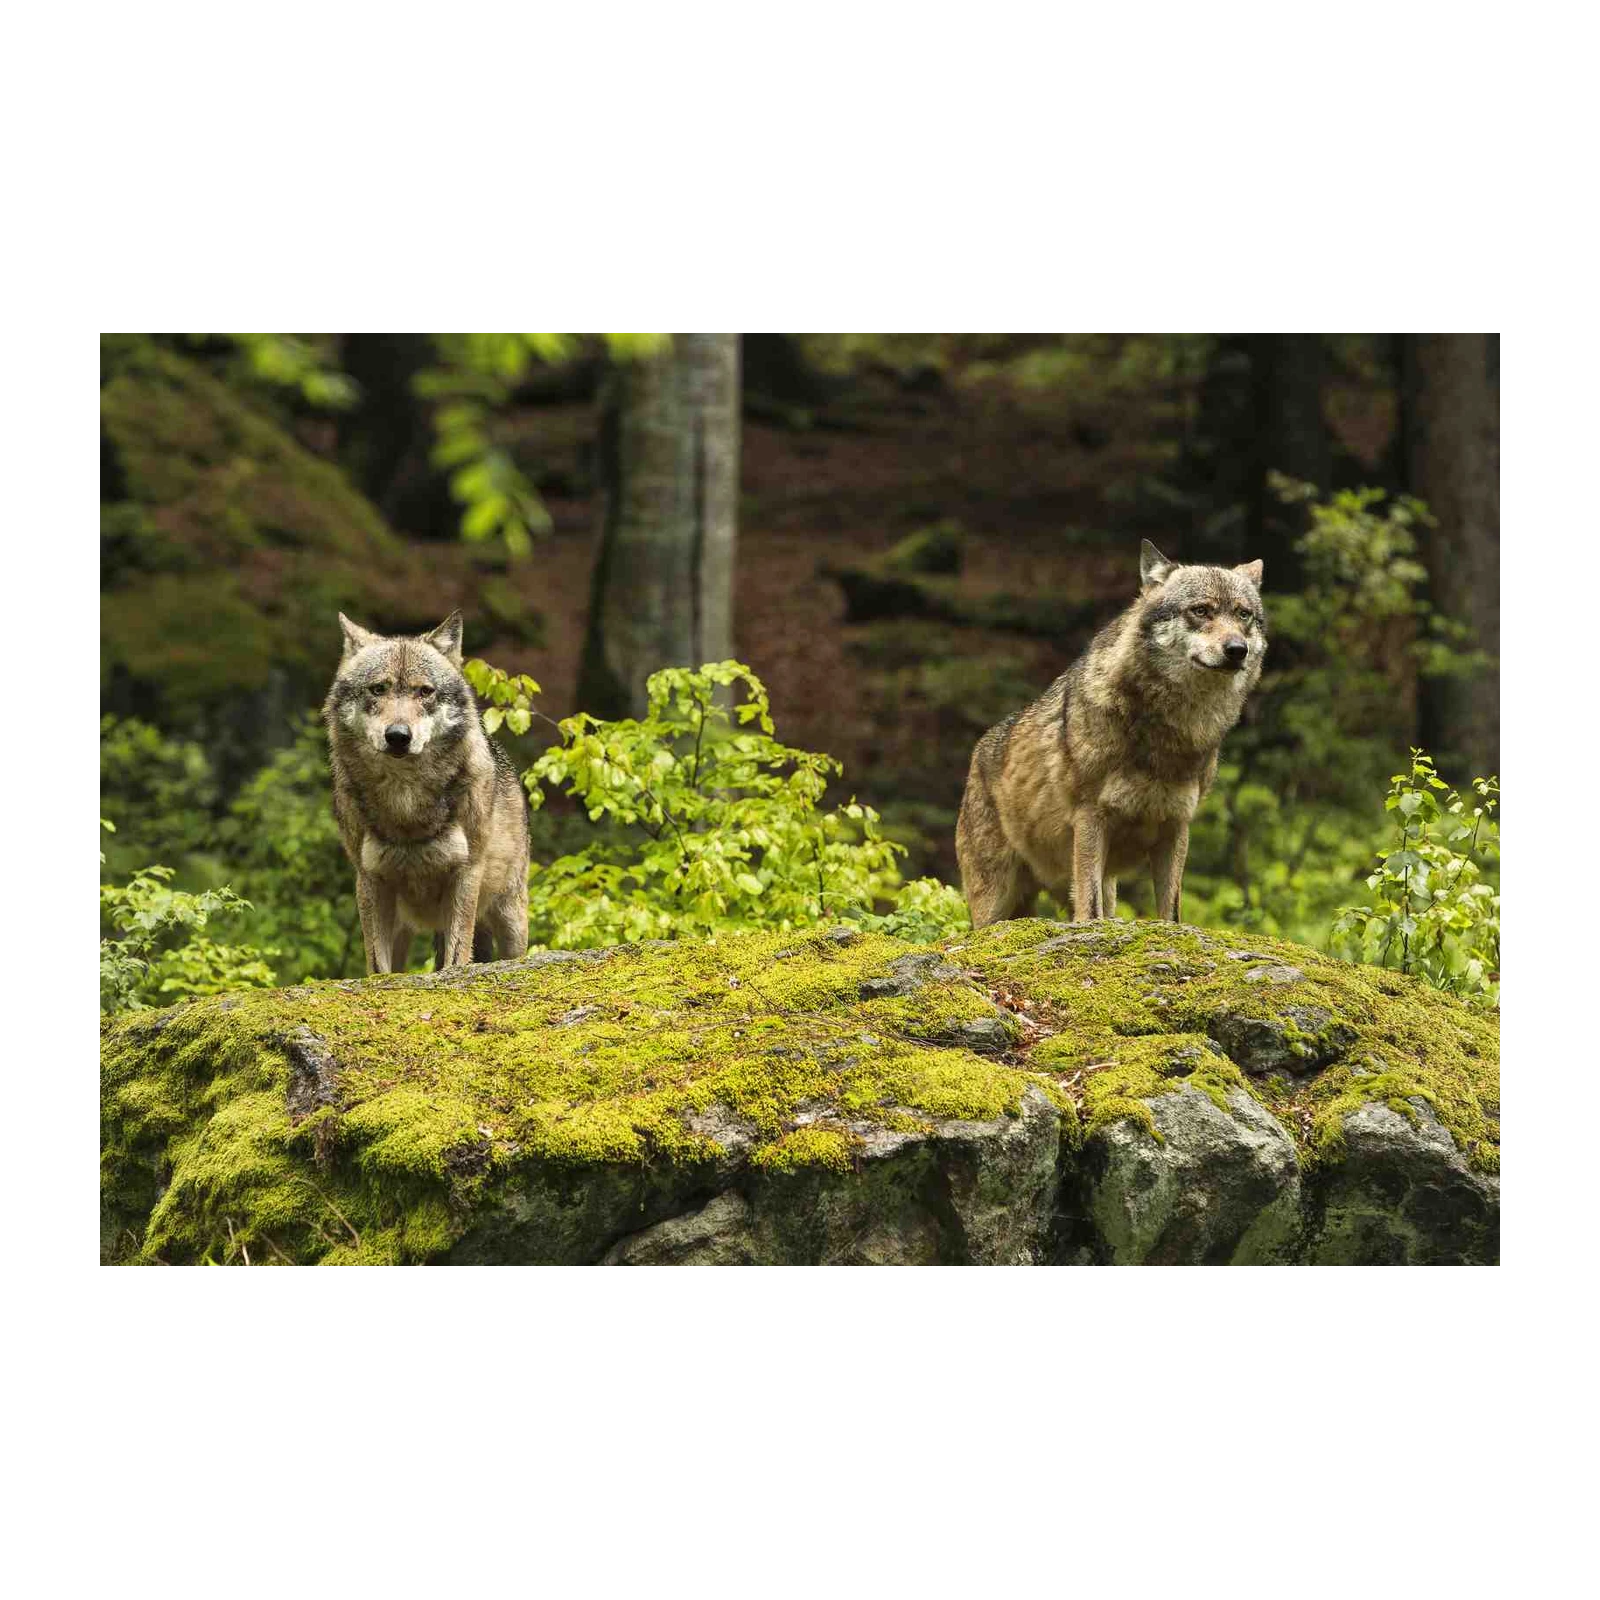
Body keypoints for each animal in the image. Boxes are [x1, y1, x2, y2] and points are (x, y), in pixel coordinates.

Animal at [324, 611, 530, 974]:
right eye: (378, 688)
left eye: (425, 692)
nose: (398, 736)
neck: (405, 800)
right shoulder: (369, 879)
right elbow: (378, 966)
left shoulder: (466, 874)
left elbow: (456, 957)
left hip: (510, 919)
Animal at [955, 540, 1266, 927]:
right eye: (1201, 611)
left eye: (1243, 615)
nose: (1237, 650)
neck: (1168, 734)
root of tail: (977, 752)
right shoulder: (1090, 819)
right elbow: (1089, 912)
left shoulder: (1176, 827)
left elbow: (1171, 914)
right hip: (995, 904)